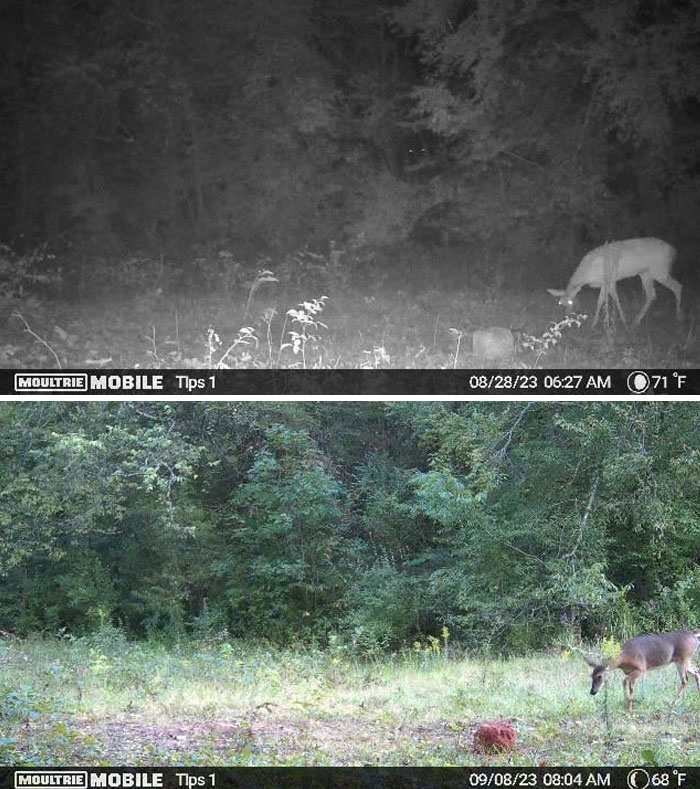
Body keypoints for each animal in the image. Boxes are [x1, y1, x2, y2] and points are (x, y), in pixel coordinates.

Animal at [547, 238, 682, 328]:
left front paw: (593, 324)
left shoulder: (606, 279)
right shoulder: (610, 281)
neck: (588, 273)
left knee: (678, 286)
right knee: (651, 294)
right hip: (646, 273)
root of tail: (673, 250)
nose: (566, 317)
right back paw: (636, 322)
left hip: (660, 270)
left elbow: (600, 301)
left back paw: (678, 316)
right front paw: (623, 320)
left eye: (571, 302)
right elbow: (616, 298)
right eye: (560, 303)